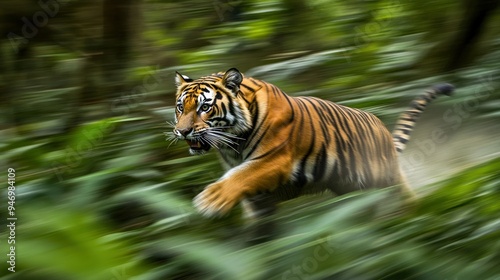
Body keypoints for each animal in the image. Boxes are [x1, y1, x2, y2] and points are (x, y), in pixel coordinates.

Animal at [168, 68, 454, 221]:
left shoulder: (275, 159)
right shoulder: (258, 199)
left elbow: (241, 176)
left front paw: (211, 200)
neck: (232, 145)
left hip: (386, 178)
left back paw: (415, 215)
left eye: (205, 107)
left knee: (404, 193)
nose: (182, 131)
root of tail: (382, 127)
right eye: (181, 107)